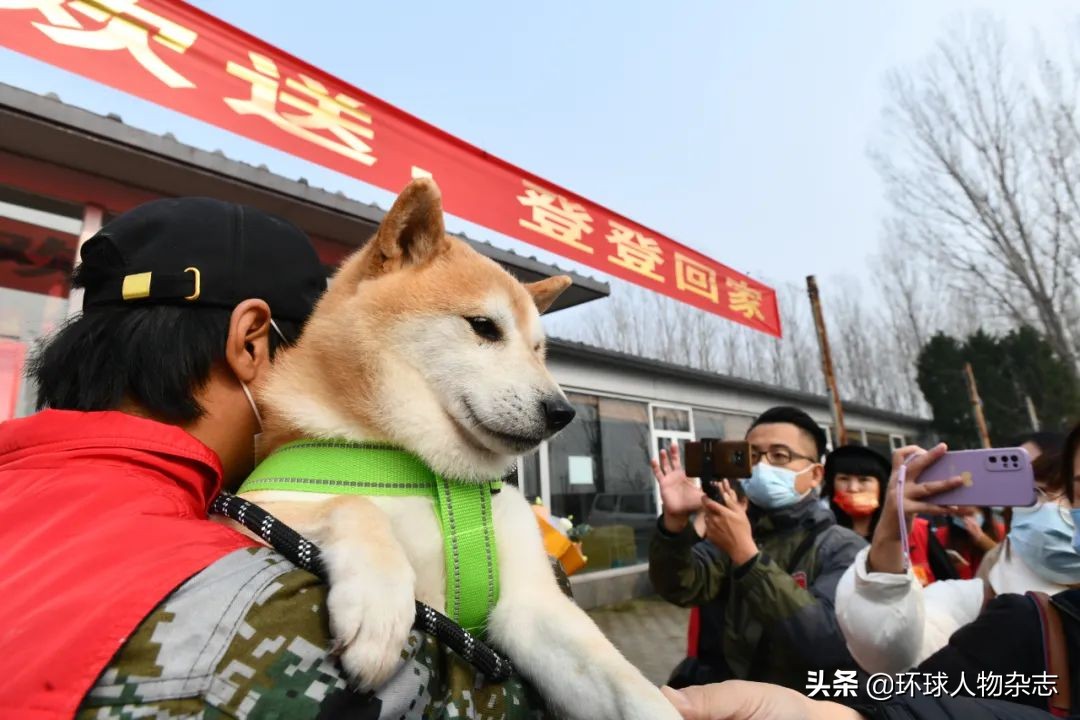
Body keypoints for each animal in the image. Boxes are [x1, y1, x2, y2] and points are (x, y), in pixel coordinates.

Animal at [244, 179, 678, 720]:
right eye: (484, 326)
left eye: (539, 350)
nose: (563, 412)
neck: (433, 472)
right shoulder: (246, 502)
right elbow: (354, 502)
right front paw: (378, 603)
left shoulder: (528, 604)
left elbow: (628, 687)